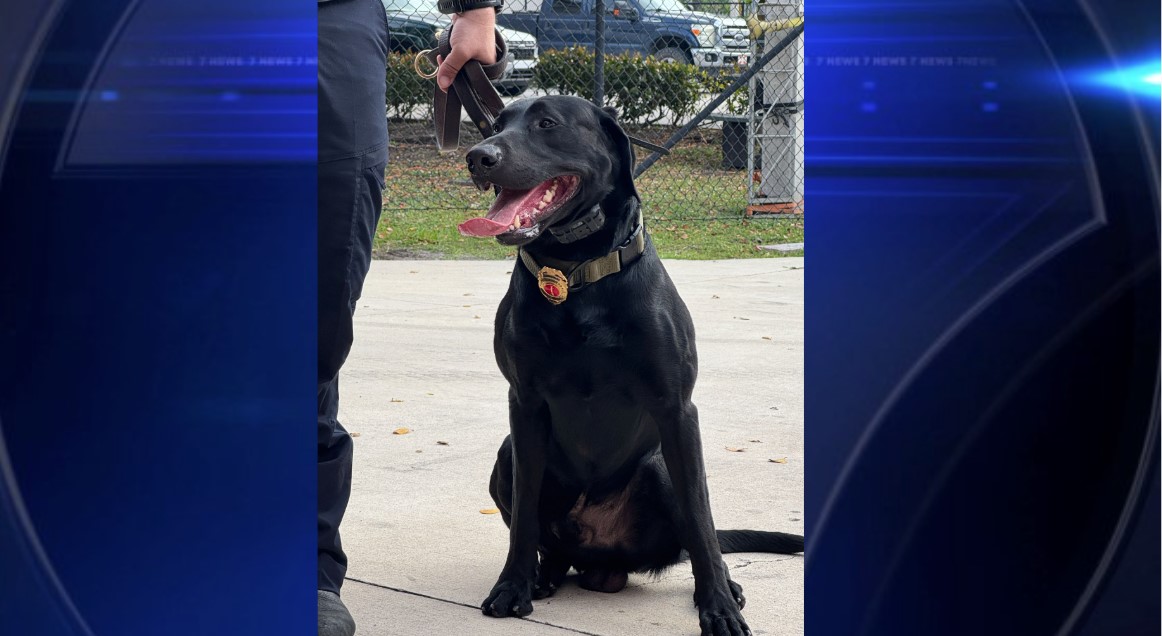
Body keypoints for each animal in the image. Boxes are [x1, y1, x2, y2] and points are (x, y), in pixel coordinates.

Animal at [457, 95, 804, 636]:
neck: (574, 272)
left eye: (547, 123)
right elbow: (523, 518)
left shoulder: (677, 410)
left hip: (661, 466)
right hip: (506, 455)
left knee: (697, 531)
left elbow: (702, 523)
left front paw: (719, 609)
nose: (478, 157)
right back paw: (543, 574)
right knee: (546, 540)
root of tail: (600, 558)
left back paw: (726, 587)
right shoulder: (524, 406)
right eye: (496, 124)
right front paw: (512, 586)